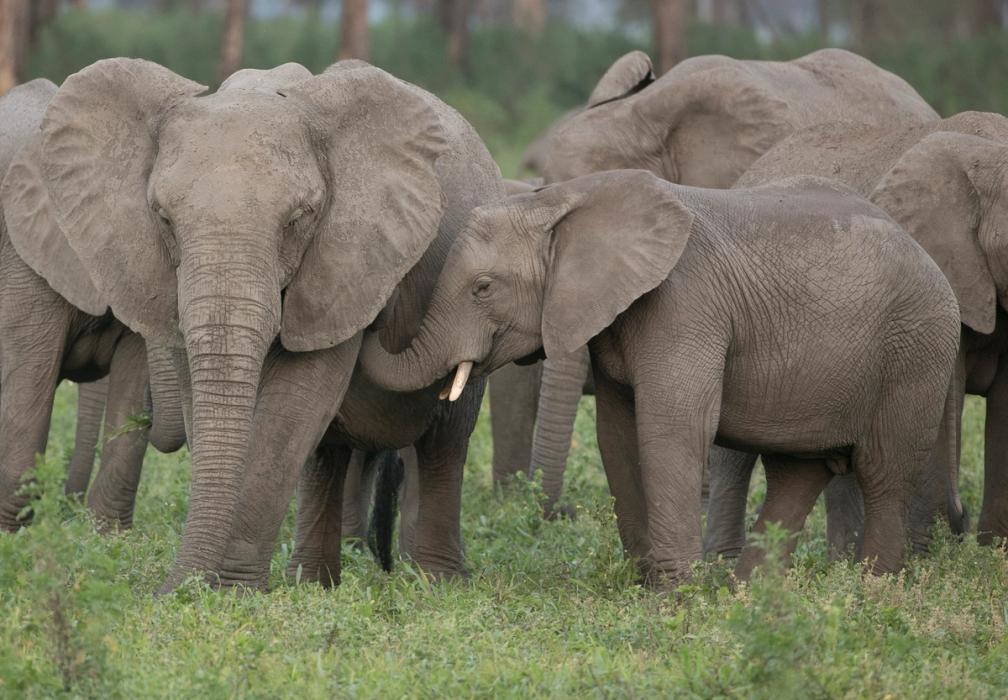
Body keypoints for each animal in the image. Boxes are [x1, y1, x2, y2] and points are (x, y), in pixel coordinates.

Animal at [0, 79, 186, 531]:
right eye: (162, 218)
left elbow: (131, 381)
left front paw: (107, 536)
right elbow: (29, 381)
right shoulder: (24, 252)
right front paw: (12, 536)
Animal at [20, 58, 501, 591]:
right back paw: (312, 584)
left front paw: (230, 591)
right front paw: (219, 588)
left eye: (298, 219)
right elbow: (202, 391)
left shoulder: (345, 259)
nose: (167, 591)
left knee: (444, 443)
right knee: (327, 455)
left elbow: (296, 398)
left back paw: (437, 583)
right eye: (163, 218)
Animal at [360, 169, 962, 586]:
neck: (565, 199)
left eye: (483, 288)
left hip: (917, 350)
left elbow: (671, 430)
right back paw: (748, 594)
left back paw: (872, 592)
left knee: (884, 472)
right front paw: (645, 584)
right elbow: (618, 436)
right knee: (797, 473)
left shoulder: (685, 305)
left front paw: (673, 599)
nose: (377, 307)